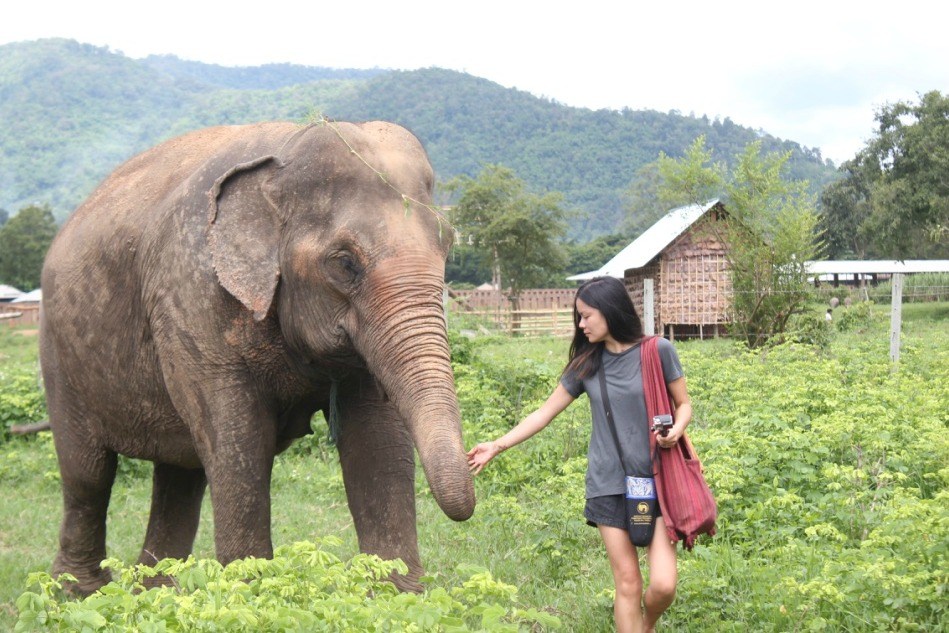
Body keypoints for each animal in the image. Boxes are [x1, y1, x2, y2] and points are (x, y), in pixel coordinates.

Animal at [39, 120, 476, 596]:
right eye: (344, 263)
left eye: (449, 243)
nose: (477, 458)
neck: (285, 153)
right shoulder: (194, 300)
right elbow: (239, 443)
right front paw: (251, 594)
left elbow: (377, 442)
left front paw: (398, 598)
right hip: (58, 355)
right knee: (88, 473)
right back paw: (77, 592)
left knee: (179, 473)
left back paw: (155, 594)